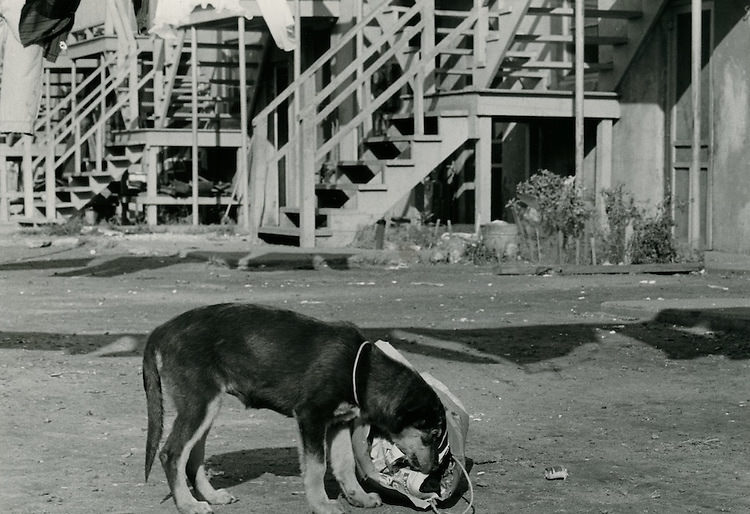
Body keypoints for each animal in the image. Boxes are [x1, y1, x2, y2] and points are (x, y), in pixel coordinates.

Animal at [142, 302, 446, 510]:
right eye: (432, 435)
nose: (434, 471)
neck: (362, 370)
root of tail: (161, 330)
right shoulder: (311, 417)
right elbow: (317, 467)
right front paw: (321, 505)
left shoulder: (339, 421)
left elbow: (345, 464)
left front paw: (358, 497)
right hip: (199, 404)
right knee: (172, 454)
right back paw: (188, 504)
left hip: (207, 406)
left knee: (192, 457)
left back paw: (212, 496)